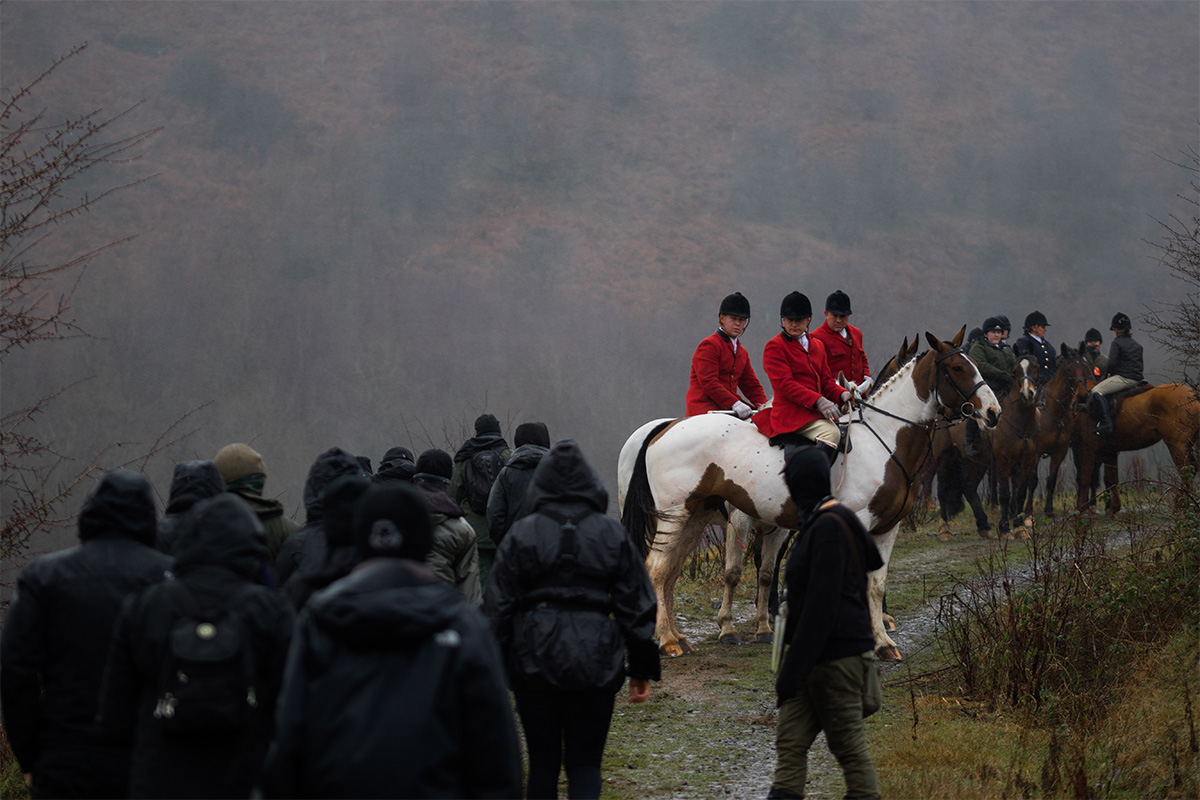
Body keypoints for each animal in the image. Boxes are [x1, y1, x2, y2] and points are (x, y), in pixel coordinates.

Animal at [619, 328, 1003, 662]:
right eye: (958, 368)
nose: (993, 413)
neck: (883, 439)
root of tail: (664, 429)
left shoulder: (886, 527)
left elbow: (875, 586)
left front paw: (883, 642)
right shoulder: (851, 522)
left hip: (693, 517)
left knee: (669, 572)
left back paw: (674, 636)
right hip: (675, 515)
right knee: (657, 569)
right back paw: (667, 641)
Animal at [1075, 381, 1195, 513]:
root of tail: (1192, 395)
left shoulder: (1088, 448)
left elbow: (1085, 477)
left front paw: (1081, 508)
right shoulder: (1109, 451)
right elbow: (1112, 479)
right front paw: (1114, 508)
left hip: (1177, 445)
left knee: (1187, 472)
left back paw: (1180, 505)